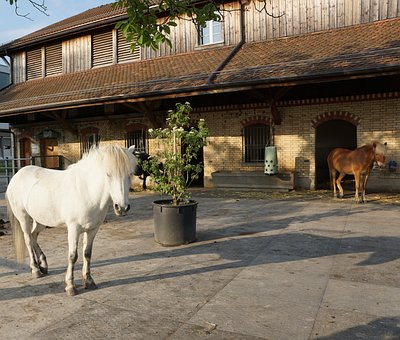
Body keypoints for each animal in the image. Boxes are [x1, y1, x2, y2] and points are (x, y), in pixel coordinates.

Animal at [5, 143, 138, 294]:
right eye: (108, 174)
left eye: (130, 174)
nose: (122, 208)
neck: (87, 191)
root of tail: (17, 175)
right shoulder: (74, 229)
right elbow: (73, 256)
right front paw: (70, 286)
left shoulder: (92, 229)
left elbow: (87, 254)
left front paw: (89, 281)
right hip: (24, 218)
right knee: (28, 239)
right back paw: (35, 270)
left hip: (41, 220)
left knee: (34, 236)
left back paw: (43, 265)